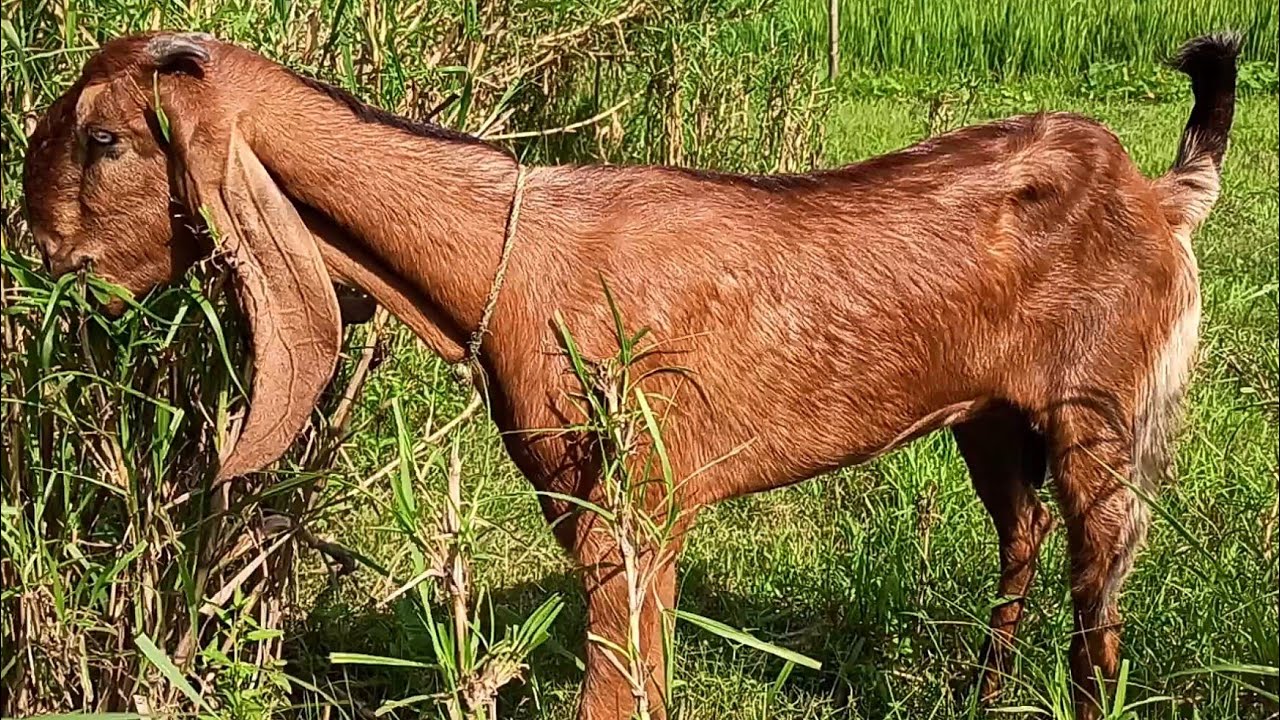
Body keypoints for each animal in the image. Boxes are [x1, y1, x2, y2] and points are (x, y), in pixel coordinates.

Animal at [21, 30, 1238, 720]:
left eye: (106, 141)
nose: (40, 247)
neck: (508, 261)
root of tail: (1155, 194)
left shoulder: (635, 504)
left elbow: (615, 687)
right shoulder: (593, 506)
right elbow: (641, 676)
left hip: (1101, 413)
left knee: (1099, 591)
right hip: (988, 417)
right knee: (1022, 537)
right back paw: (980, 695)